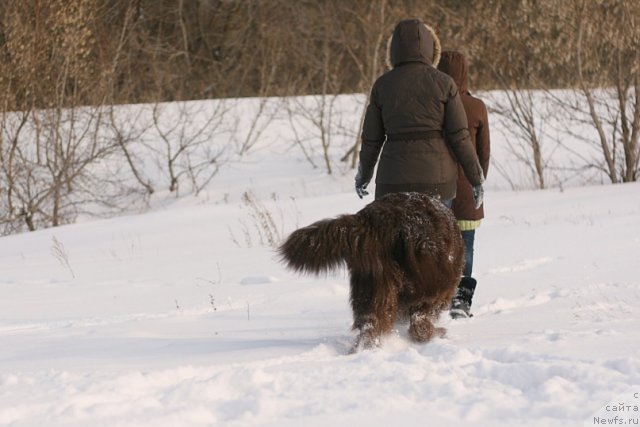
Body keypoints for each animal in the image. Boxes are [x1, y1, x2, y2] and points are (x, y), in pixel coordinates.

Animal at [278, 192, 462, 352]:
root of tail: (380, 221)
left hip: (372, 282)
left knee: (371, 325)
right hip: (430, 283)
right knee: (419, 320)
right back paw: (436, 333)